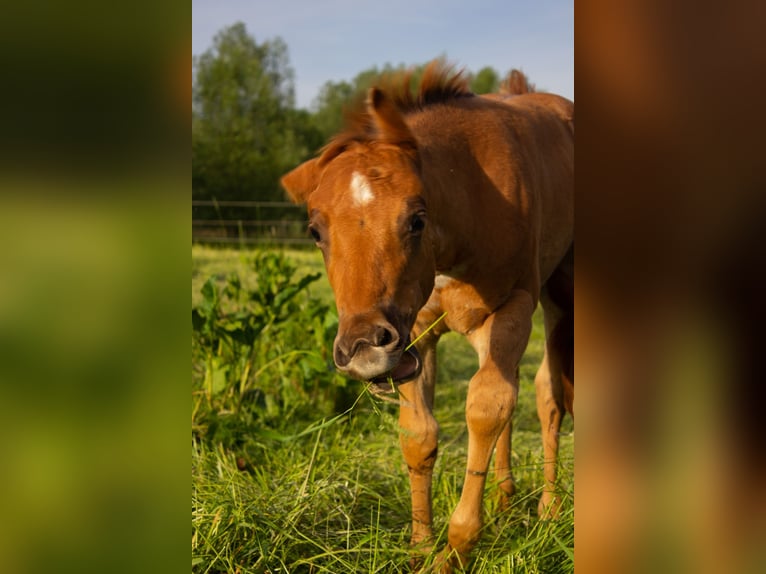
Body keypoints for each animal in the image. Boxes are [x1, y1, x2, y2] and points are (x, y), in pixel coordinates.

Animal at [280, 60, 568, 572]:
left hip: (557, 293)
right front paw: (419, 546)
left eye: (416, 218)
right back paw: (505, 496)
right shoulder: (413, 333)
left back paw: (550, 508)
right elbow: (420, 434)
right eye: (315, 230)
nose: (362, 347)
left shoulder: (513, 306)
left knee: (546, 392)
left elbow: (487, 409)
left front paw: (455, 547)